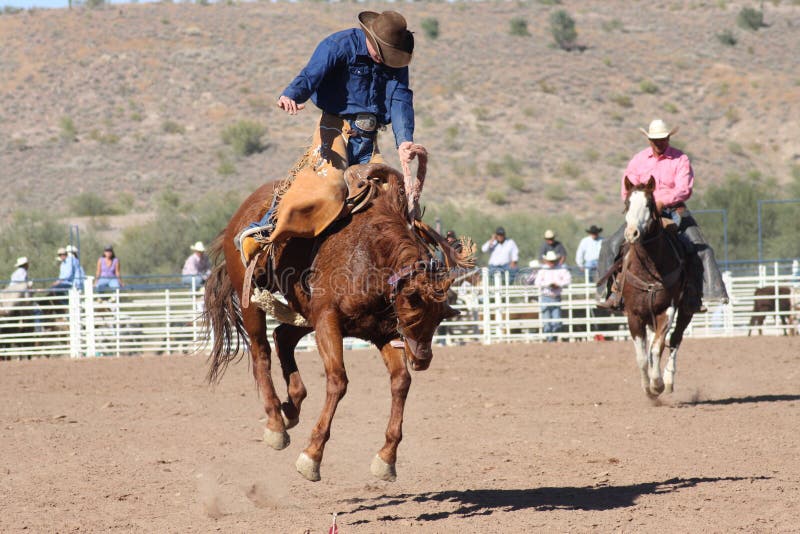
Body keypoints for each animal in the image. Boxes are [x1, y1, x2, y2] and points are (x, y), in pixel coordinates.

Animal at [203, 164, 466, 486]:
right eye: (415, 310)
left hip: (306, 313)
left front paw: (386, 458)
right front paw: (312, 456)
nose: (423, 359)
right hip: (252, 298)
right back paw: (276, 423)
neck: (371, 253)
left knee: (283, 336)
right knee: (261, 351)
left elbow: (401, 381)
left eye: (439, 317)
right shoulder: (328, 319)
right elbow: (338, 380)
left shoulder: (381, 333)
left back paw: (291, 407)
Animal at [620, 178, 692, 400]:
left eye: (649, 204)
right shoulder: (634, 315)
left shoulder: (666, 311)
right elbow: (642, 356)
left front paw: (657, 384)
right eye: (627, 203)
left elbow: (657, 348)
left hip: (686, 311)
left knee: (675, 340)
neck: (649, 269)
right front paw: (648, 388)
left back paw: (667, 380)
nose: (632, 233)